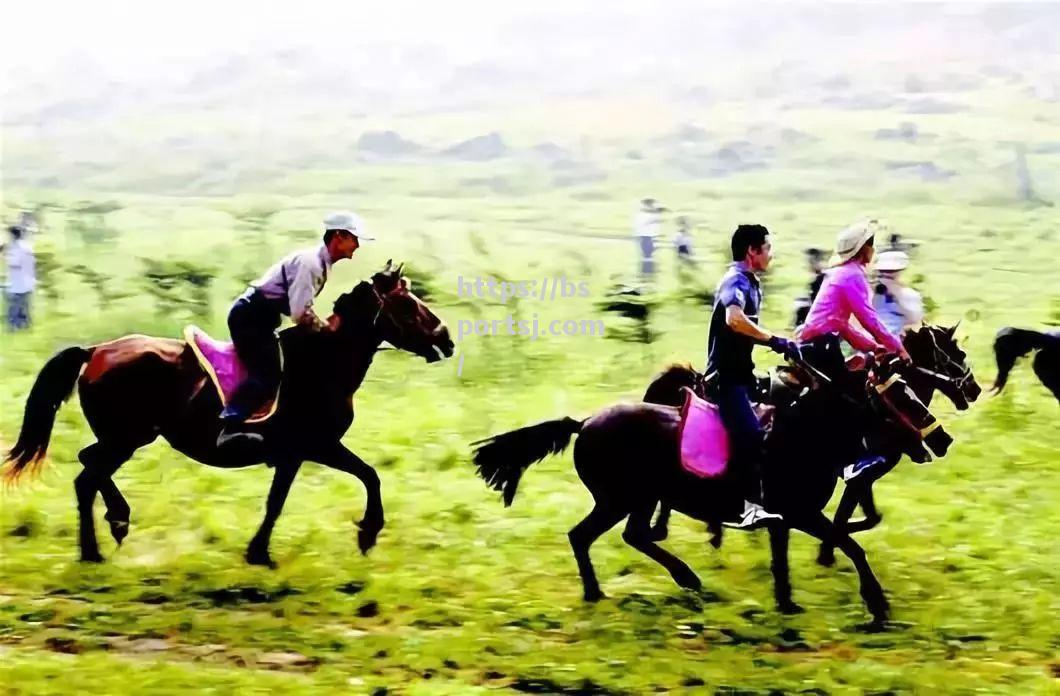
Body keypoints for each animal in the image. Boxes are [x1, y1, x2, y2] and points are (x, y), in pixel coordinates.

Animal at [4, 260, 453, 563]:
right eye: (408, 306)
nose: (446, 340)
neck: (323, 362)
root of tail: (95, 350)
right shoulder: (313, 447)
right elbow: (363, 477)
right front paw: (366, 533)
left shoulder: (299, 453)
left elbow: (295, 496)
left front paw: (260, 552)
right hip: (127, 438)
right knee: (87, 476)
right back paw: (102, 540)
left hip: (126, 437)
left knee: (88, 467)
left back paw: (109, 530)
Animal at [472, 358, 953, 622]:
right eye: (902, 397)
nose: (943, 439)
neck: (805, 435)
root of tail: (585, 422)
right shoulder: (800, 513)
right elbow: (850, 544)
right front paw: (877, 603)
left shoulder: (785, 518)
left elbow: (787, 557)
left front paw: (787, 604)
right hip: (621, 498)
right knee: (593, 535)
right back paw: (648, 584)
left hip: (636, 499)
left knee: (625, 535)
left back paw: (664, 582)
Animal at [644, 322, 983, 567]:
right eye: (958, 354)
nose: (975, 388)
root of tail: (694, 380)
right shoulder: (858, 474)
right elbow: (850, 517)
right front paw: (827, 551)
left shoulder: (861, 476)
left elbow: (867, 516)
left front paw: (828, 547)